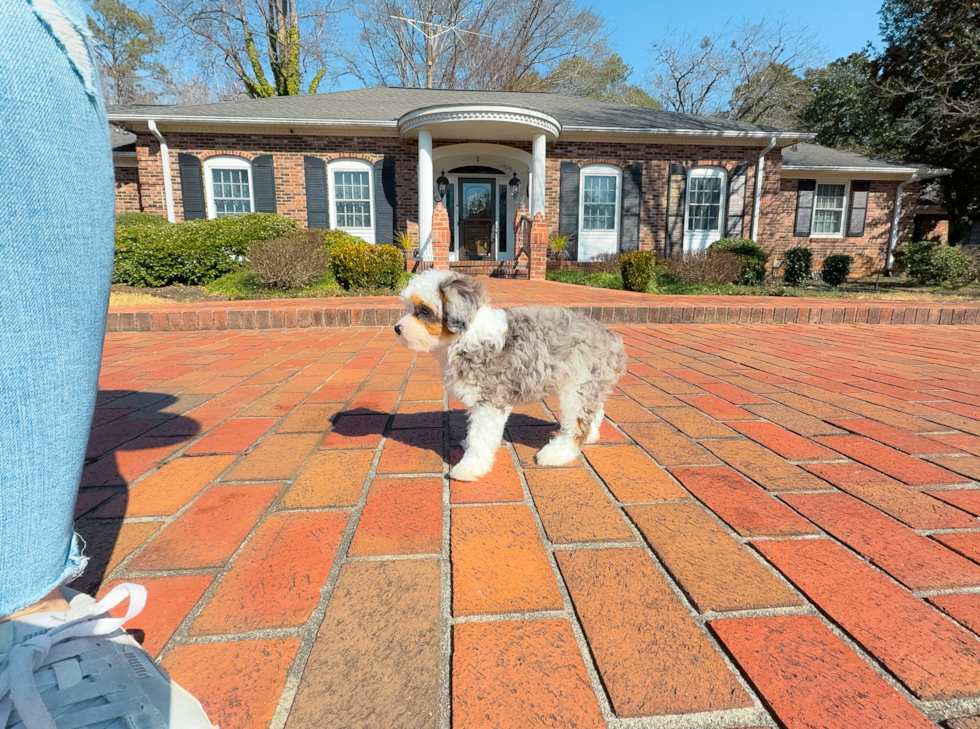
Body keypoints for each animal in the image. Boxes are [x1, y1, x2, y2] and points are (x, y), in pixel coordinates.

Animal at [394, 270, 624, 480]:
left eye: (424, 310)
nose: (397, 328)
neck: (465, 338)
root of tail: (609, 337)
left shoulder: (489, 401)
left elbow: (480, 438)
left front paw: (469, 467)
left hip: (576, 390)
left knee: (576, 426)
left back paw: (557, 453)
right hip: (588, 386)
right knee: (595, 411)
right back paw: (592, 435)